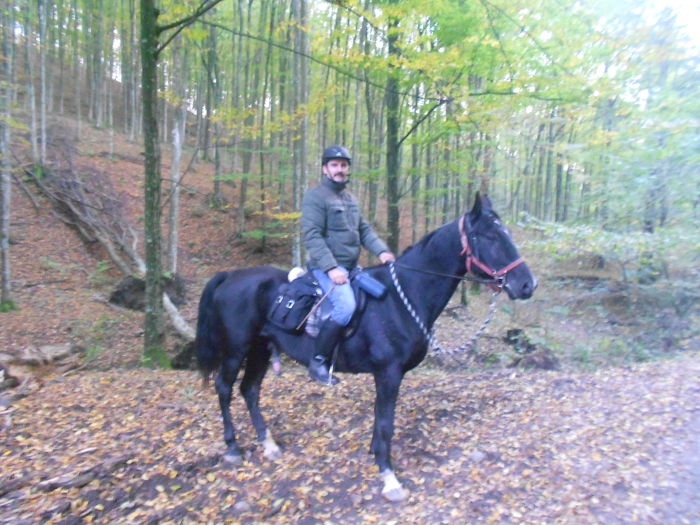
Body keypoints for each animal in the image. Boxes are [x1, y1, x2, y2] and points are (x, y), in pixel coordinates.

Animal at [197, 193, 536, 500]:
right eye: (490, 236)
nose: (527, 284)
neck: (403, 298)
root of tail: (230, 276)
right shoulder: (388, 373)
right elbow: (386, 423)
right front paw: (389, 477)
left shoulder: (387, 376)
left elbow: (380, 419)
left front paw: (376, 457)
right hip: (237, 350)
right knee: (224, 388)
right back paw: (232, 447)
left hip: (259, 349)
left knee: (250, 390)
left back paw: (267, 444)